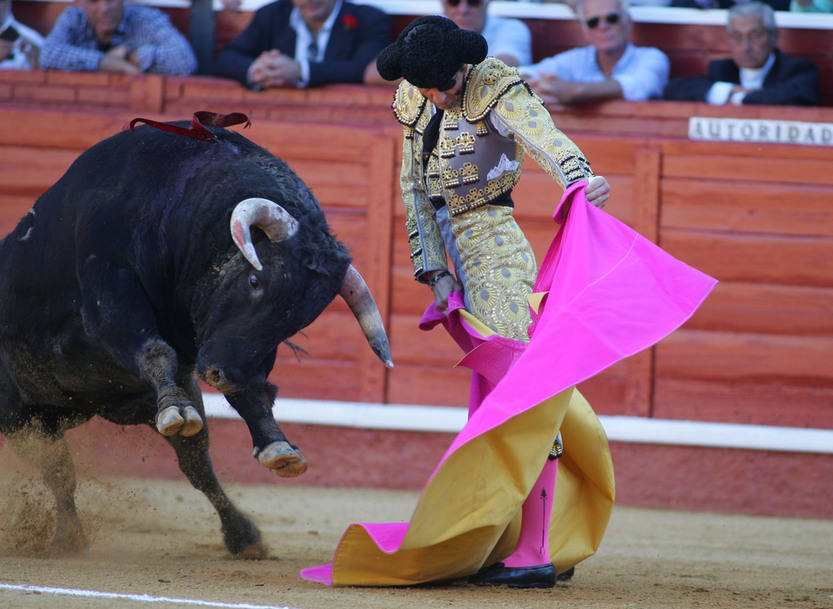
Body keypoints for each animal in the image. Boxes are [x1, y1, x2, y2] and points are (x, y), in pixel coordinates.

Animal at [0, 117, 394, 556]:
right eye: (255, 281)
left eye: (297, 322)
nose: (220, 374)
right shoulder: (108, 286)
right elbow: (154, 349)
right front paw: (175, 406)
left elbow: (249, 392)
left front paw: (277, 445)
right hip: (20, 418)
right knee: (59, 472)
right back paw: (69, 536)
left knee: (195, 464)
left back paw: (242, 535)